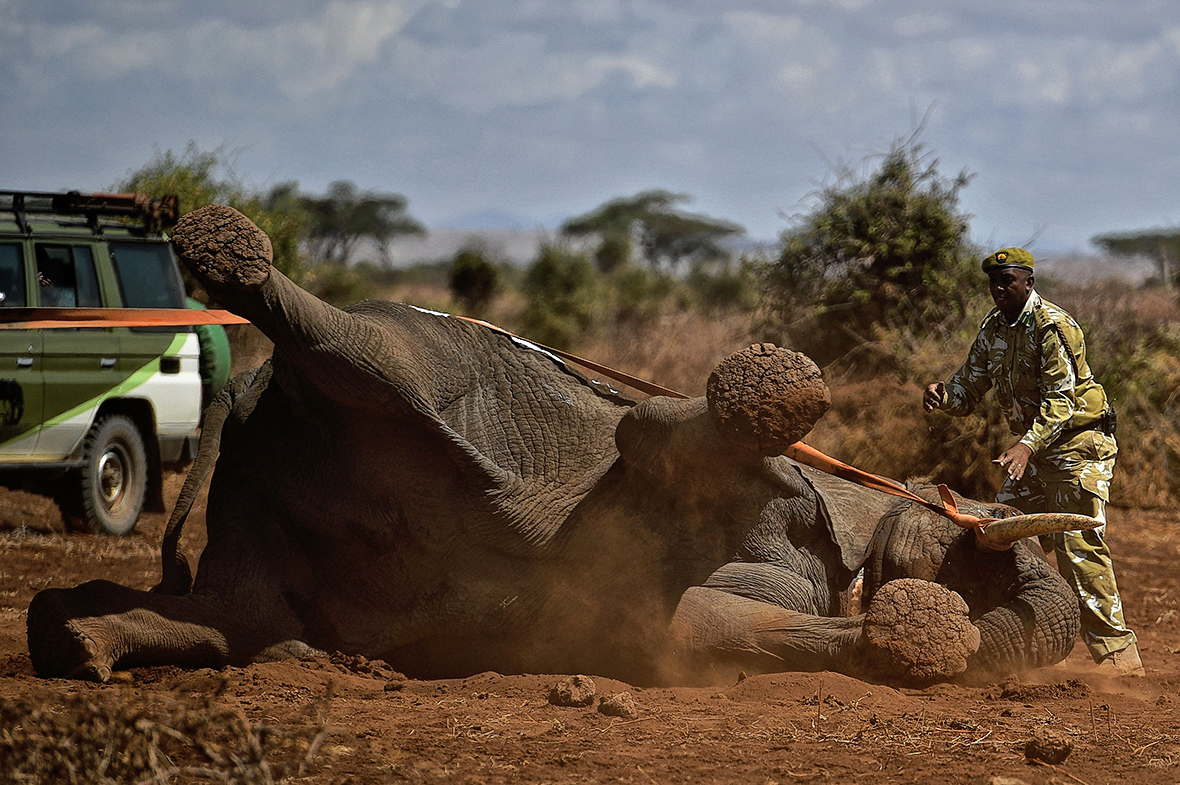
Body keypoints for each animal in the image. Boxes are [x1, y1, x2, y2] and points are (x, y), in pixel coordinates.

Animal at [25, 205, 1080, 684]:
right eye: (983, 557)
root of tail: (246, 390)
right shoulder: (714, 461)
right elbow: (650, 429)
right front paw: (774, 387)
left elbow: (695, 619)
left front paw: (921, 637)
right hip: (419, 349)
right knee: (356, 349)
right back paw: (228, 251)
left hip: (264, 518)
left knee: (230, 613)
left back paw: (76, 637)